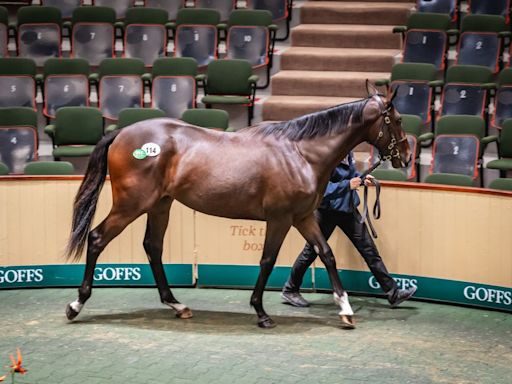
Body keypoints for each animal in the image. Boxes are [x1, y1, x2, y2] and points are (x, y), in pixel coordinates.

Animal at [64, 89, 410, 328]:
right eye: (396, 119)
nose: (406, 157)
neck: (300, 153)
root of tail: (120, 133)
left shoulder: (303, 217)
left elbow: (326, 254)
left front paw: (346, 310)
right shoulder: (280, 219)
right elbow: (268, 261)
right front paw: (261, 312)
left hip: (160, 205)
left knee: (153, 246)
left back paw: (177, 305)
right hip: (131, 204)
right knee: (97, 238)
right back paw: (76, 305)